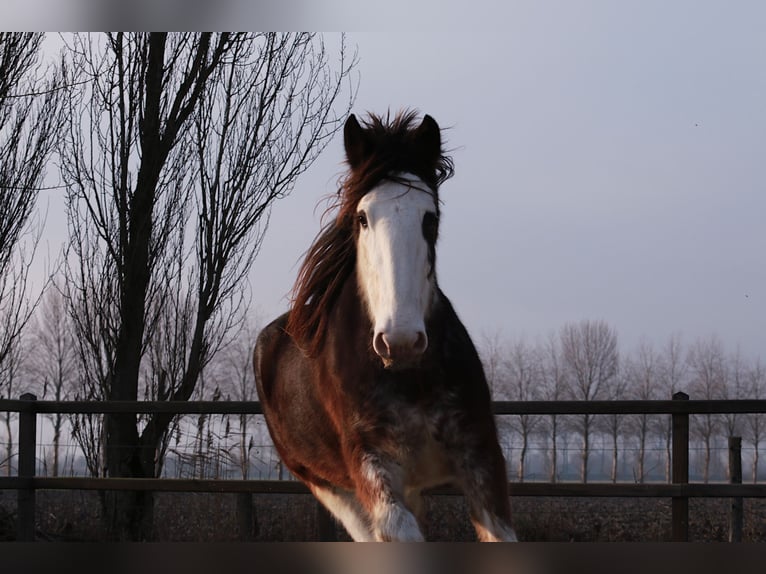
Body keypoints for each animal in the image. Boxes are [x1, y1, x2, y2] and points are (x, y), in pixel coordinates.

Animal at [255, 110, 520, 544]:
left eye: (430, 218)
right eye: (362, 218)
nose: (400, 342)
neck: (410, 379)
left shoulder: (482, 459)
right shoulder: (373, 474)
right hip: (331, 488)